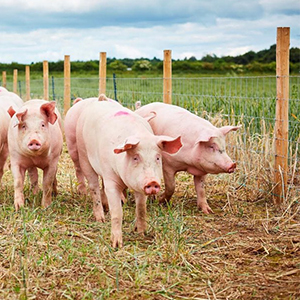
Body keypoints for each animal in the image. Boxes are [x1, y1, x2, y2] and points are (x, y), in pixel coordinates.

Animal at [76, 99, 182, 247]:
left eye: (157, 157)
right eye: (135, 157)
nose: (152, 182)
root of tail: (100, 100)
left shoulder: (139, 185)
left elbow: (141, 208)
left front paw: (141, 233)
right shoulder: (111, 179)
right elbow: (117, 212)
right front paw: (116, 245)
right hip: (83, 155)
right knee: (93, 187)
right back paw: (101, 219)